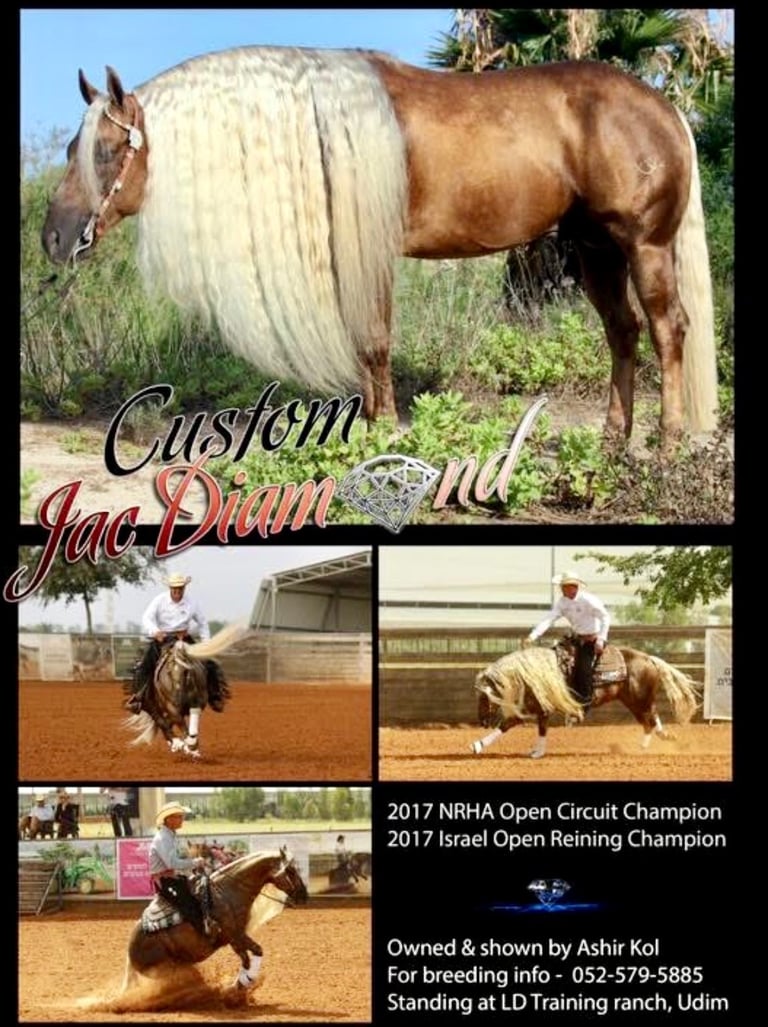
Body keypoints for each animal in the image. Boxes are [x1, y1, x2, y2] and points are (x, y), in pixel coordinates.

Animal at [41, 49, 717, 447]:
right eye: (72, 148)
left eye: (108, 150)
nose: (54, 237)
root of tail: (664, 107)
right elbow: (366, 343)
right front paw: (369, 426)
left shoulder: (372, 254)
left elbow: (373, 339)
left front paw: (386, 429)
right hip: (597, 251)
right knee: (623, 333)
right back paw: (613, 439)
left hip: (645, 246)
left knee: (668, 330)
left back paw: (665, 440)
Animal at [123, 621, 244, 757]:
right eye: (169, 673)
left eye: (187, 672)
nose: (178, 697)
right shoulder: (170, 707)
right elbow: (172, 721)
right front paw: (184, 745)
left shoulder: (197, 702)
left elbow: (187, 720)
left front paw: (191, 746)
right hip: (149, 704)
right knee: (161, 720)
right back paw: (177, 743)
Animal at [123, 847, 308, 994]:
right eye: (291, 871)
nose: (304, 895)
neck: (227, 892)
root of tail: (130, 953)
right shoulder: (235, 935)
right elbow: (255, 953)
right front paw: (241, 985)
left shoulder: (235, 938)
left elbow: (249, 958)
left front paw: (239, 985)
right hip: (167, 969)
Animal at [471, 644, 700, 758]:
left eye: (484, 695)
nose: (482, 721)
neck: (532, 672)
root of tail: (650, 659)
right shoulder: (533, 707)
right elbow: (507, 725)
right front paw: (478, 745)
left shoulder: (541, 708)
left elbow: (535, 728)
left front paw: (537, 752)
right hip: (636, 700)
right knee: (652, 718)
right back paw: (664, 736)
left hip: (638, 700)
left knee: (649, 722)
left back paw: (642, 748)